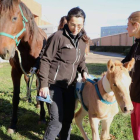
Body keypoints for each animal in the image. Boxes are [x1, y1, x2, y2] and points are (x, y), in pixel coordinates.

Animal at [0, 0, 46, 133]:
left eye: (14, 18)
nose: (4, 51)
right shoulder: (15, 72)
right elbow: (15, 98)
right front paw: (12, 125)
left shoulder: (40, 71)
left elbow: (41, 92)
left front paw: (42, 118)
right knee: (28, 81)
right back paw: (29, 98)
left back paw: (37, 104)